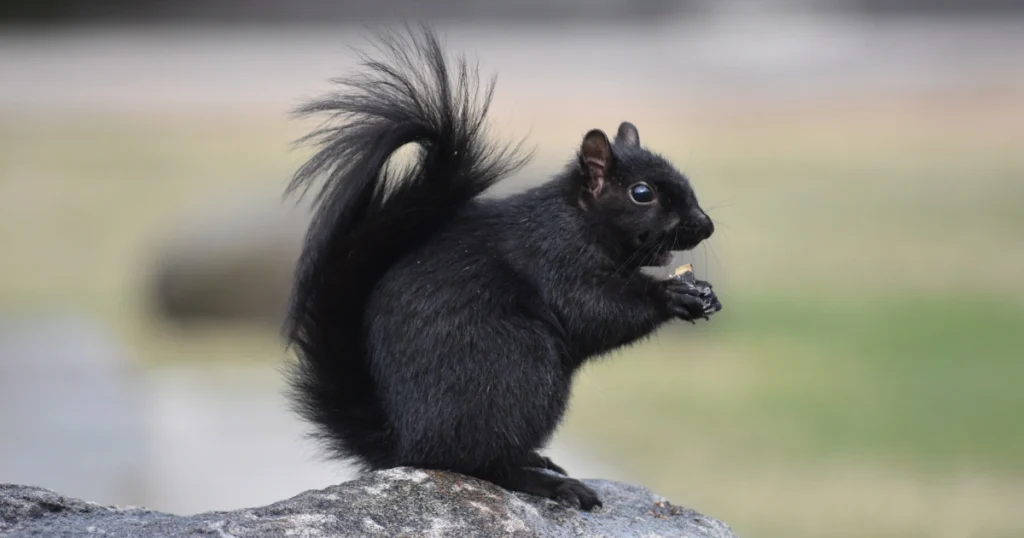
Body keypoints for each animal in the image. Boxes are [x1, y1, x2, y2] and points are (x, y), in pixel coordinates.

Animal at [282, 26, 720, 512]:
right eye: (641, 193)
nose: (705, 225)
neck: (579, 221)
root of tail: (406, 443)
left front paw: (704, 293)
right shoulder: (555, 260)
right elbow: (594, 310)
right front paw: (671, 296)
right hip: (518, 370)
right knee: (480, 463)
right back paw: (549, 483)